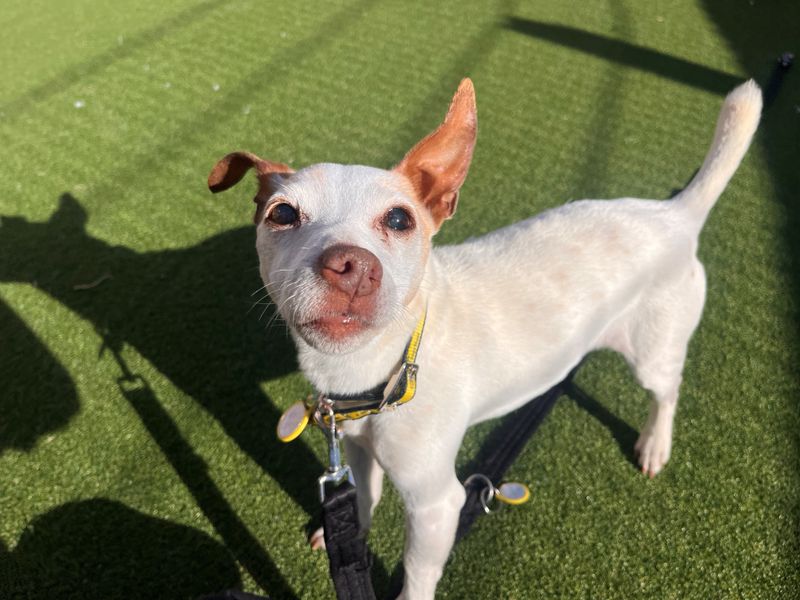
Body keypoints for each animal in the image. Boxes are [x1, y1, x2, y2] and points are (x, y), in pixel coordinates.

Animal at [208, 77, 764, 596]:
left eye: (399, 219)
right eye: (282, 213)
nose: (350, 267)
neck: (380, 371)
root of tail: (675, 214)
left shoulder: (436, 504)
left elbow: (418, 575)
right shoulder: (359, 450)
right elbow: (364, 499)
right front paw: (345, 535)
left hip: (654, 351)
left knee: (667, 392)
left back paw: (654, 444)